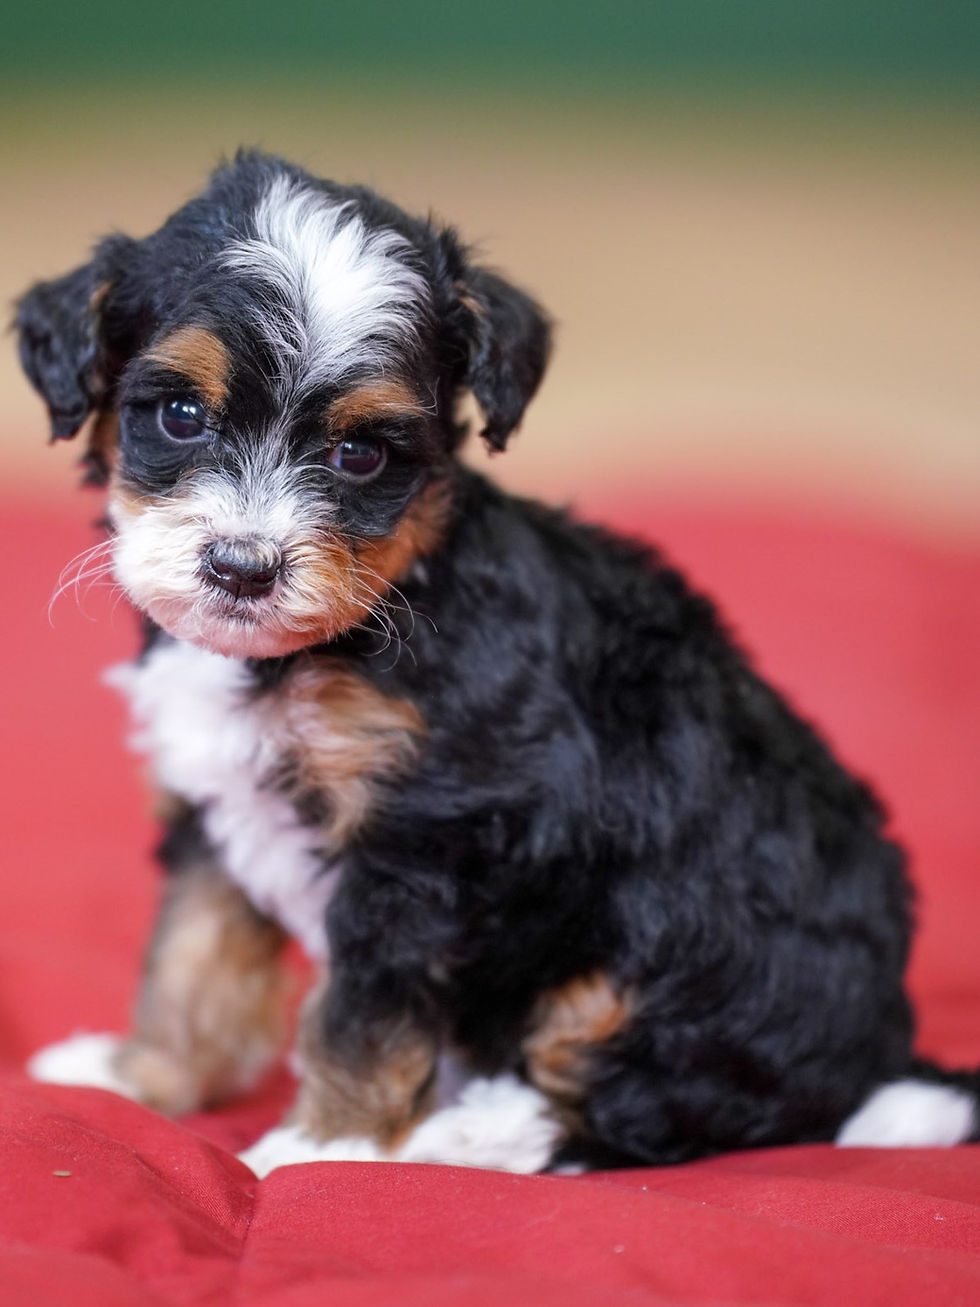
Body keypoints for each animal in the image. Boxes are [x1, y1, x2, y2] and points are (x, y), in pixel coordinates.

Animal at [16, 149, 978, 1175]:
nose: (243, 568)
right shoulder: (213, 810)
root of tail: (880, 1056)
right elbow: (191, 956)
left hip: (681, 955)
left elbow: (362, 1012)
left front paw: (321, 1149)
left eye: (361, 454)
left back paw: (473, 1130)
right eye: (181, 414)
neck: (357, 627)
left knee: (643, 1102)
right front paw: (140, 1077)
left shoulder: (422, 842)